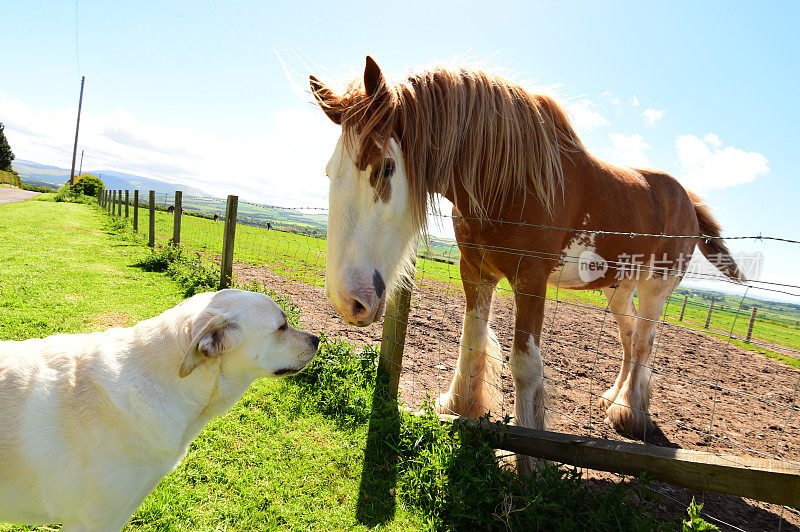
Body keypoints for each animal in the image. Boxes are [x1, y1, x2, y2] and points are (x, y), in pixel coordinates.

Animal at [310, 56, 744, 458]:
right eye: (329, 171)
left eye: (385, 168)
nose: (347, 300)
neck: (510, 181)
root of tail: (686, 198)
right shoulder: (475, 270)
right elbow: (472, 341)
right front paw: (461, 407)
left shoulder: (531, 280)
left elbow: (525, 364)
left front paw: (527, 455)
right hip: (617, 288)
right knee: (629, 336)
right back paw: (612, 400)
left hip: (656, 287)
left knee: (644, 343)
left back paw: (630, 413)